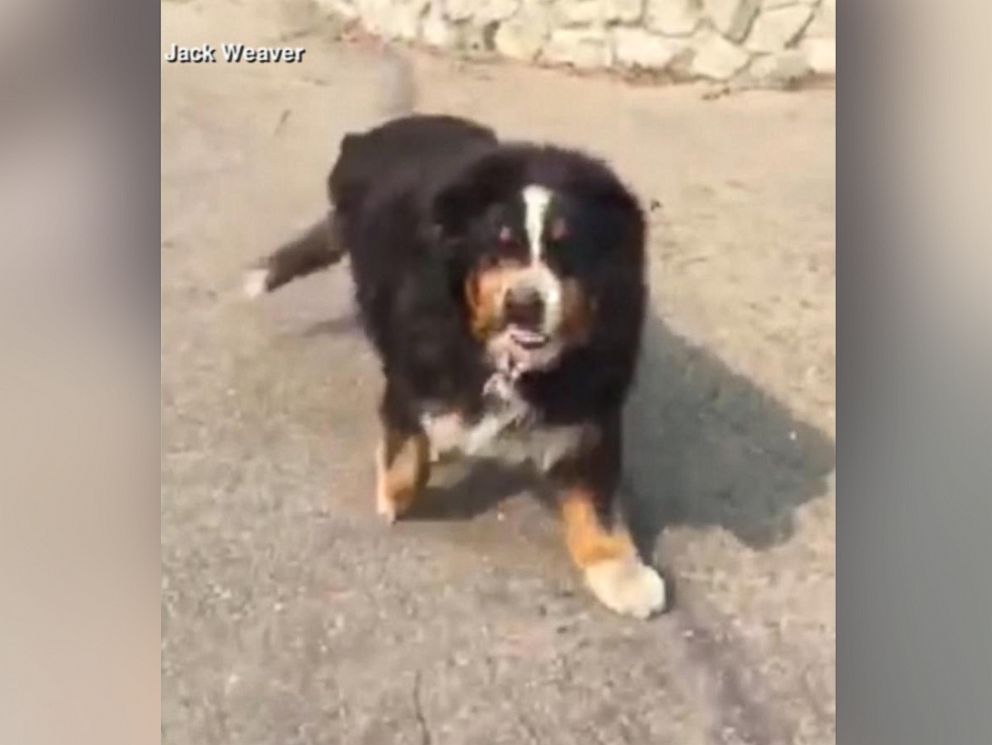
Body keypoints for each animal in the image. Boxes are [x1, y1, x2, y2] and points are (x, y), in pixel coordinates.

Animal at [247, 53, 668, 620]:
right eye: (500, 247)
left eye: (568, 252)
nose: (523, 303)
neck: (508, 363)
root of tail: (377, 133)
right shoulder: (415, 363)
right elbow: (408, 436)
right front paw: (397, 491)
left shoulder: (588, 400)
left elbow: (595, 496)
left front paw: (621, 571)